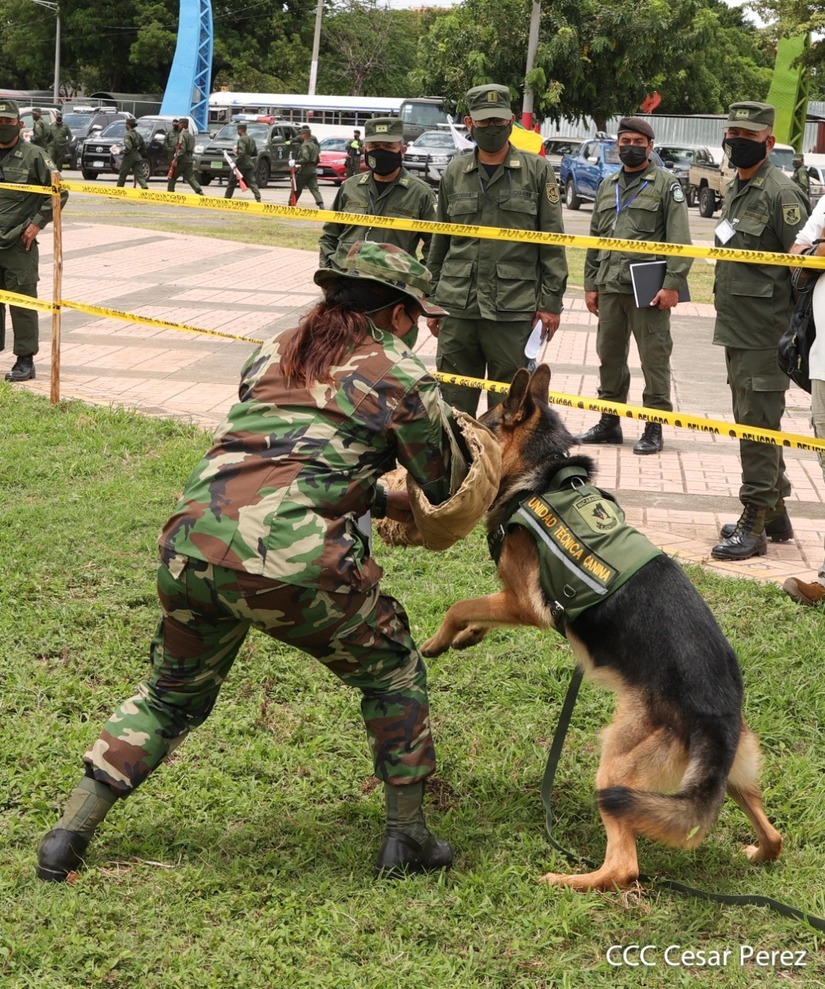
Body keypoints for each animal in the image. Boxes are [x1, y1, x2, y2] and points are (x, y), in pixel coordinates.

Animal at [421, 365, 782, 891]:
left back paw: (566, 881)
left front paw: (435, 642)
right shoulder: (510, 602)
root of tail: (718, 712)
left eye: (479, 427)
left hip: (616, 765)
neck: (541, 475)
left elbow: (458, 605)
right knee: (773, 835)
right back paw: (757, 851)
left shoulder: (523, 604)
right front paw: (468, 638)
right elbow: (473, 612)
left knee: (624, 866)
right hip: (727, 777)